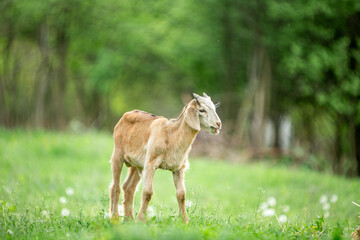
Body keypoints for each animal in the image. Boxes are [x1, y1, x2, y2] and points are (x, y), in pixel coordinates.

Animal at [109, 92, 222, 223]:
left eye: (214, 108)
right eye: (202, 110)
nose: (218, 124)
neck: (171, 134)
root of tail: (126, 115)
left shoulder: (179, 168)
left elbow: (181, 194)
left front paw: (184, 221)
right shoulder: (150, 163)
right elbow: (147, 192)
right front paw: (142, 219)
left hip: (137, 165)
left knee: (128, 188)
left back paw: (129, 219)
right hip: (117, 155)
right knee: (115, 187)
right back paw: (115, 217)